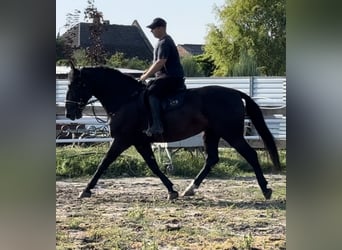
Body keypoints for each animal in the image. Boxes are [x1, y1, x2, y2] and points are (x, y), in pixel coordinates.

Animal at [65, 63, 280, 200]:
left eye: (75, 85)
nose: (69, 112)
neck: (126, 99)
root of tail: (235, 93)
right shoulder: (140, 142)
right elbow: (153, 165)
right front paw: (171, 190)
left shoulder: (122, 139)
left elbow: (104, 163)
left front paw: (86, 190)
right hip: (211, 133)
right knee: (211, 159)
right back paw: (190, 189)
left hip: (232, 134)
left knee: (250, 155)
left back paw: (265, 189)